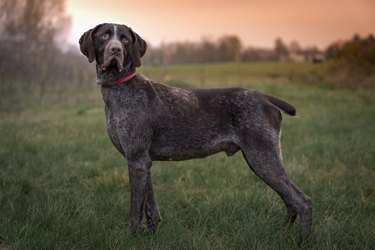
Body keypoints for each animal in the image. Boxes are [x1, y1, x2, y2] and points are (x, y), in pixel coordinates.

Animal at [78, 23, 312, 240]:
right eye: (104, 36)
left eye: (125, 39)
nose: (115, 49)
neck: (118, 87)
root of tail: (265, 97)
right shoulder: (142, 162)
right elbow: (151, 207)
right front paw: (152, 236)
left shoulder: (136, 160)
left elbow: (136, 212)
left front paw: (134, 237)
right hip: (262, 159)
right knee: (290, 201)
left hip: (262, 158)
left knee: (302, 201)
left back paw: (302, 240)